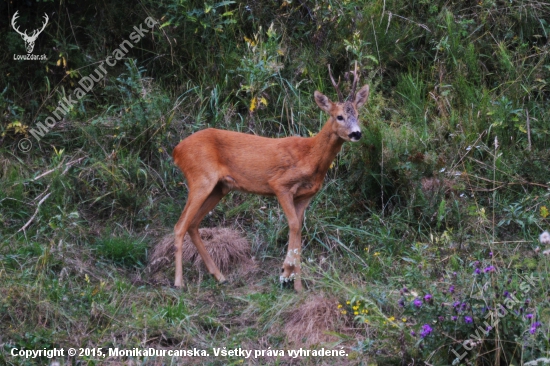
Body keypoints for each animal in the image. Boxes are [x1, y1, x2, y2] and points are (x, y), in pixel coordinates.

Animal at [172, 63, 370, 292]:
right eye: (339, 116)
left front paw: (297, 285)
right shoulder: (279, 184)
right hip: (200, 179)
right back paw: (179, 283)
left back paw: (220, 276)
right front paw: (286, 272)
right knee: (180, 226)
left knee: (193, 224)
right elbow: (293, 225)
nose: (357, 133)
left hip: (219, 188)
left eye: (358, 114)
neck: (310, 157)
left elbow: (298, 229)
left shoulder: (305, 196)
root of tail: (176, 151)